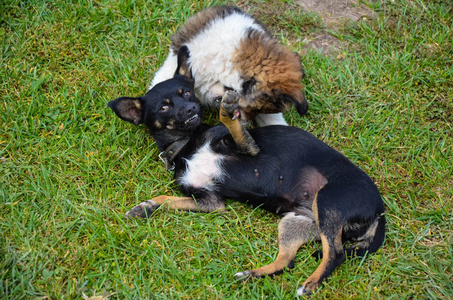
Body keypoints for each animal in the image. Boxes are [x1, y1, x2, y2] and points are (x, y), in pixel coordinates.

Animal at [108, 47, 384, 296]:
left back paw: (310, 284)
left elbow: (232, 124)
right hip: (296, 222)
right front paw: (147, 206)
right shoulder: (210, 202)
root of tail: (380, 211)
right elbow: (168, 199)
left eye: (186, 93)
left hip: (327, 202)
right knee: (288, 261)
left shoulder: (246, 146)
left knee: (335, 254)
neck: (187, 143)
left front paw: (228, 108)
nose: (191, 109)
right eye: (164, 108)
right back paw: (253, 274)